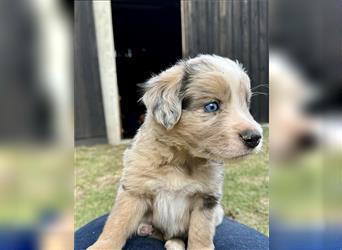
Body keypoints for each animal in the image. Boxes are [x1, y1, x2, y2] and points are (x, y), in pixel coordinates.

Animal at [87, 55, 262, 250]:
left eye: (246, 105)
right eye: (211, 106)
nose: (255, 138)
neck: (180, 159)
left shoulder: (206, 199)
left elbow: (201, 232)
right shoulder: (134, 190)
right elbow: (117, 223)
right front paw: (102, 246)